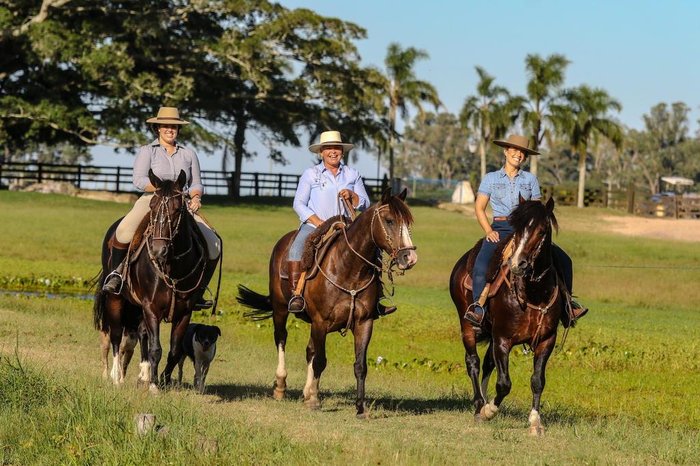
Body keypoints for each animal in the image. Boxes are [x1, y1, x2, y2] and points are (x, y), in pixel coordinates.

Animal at [93, 169, 213, 392]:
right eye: (152, 207)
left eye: (177, 209)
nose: (158, 251)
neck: (172, 267)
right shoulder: (151, 307)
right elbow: (155, 347)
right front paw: (154, 386)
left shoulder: (184, 312)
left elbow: (173, 350)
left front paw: (162, 380)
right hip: (116, 300)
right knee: (116, 336)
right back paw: (116, 377)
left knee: (140, 334)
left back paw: (143, 374)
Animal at [238, 189, 418, 418]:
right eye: (389, 220)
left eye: (408, 221)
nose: (410, 257)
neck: (349, 268)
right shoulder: (320, 321)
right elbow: (320, 361)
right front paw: (314, 400)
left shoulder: (364, 322)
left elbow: (359, 365)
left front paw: (360, 408)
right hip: (280, 309)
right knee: (281, 339)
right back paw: (280, 386)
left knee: (309, 350)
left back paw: (306, 391)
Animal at [452, 197, 568, 436]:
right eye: (518, 230)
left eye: (541, 231)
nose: (517, 264)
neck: (534, 293)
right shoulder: (503, 340)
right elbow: (504, 383)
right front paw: (489, 411)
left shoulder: (546, 340)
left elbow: (538, 380)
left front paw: (535, 421)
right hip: (467, 325)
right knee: (473, 362)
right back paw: (479, 405)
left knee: (487, 364)